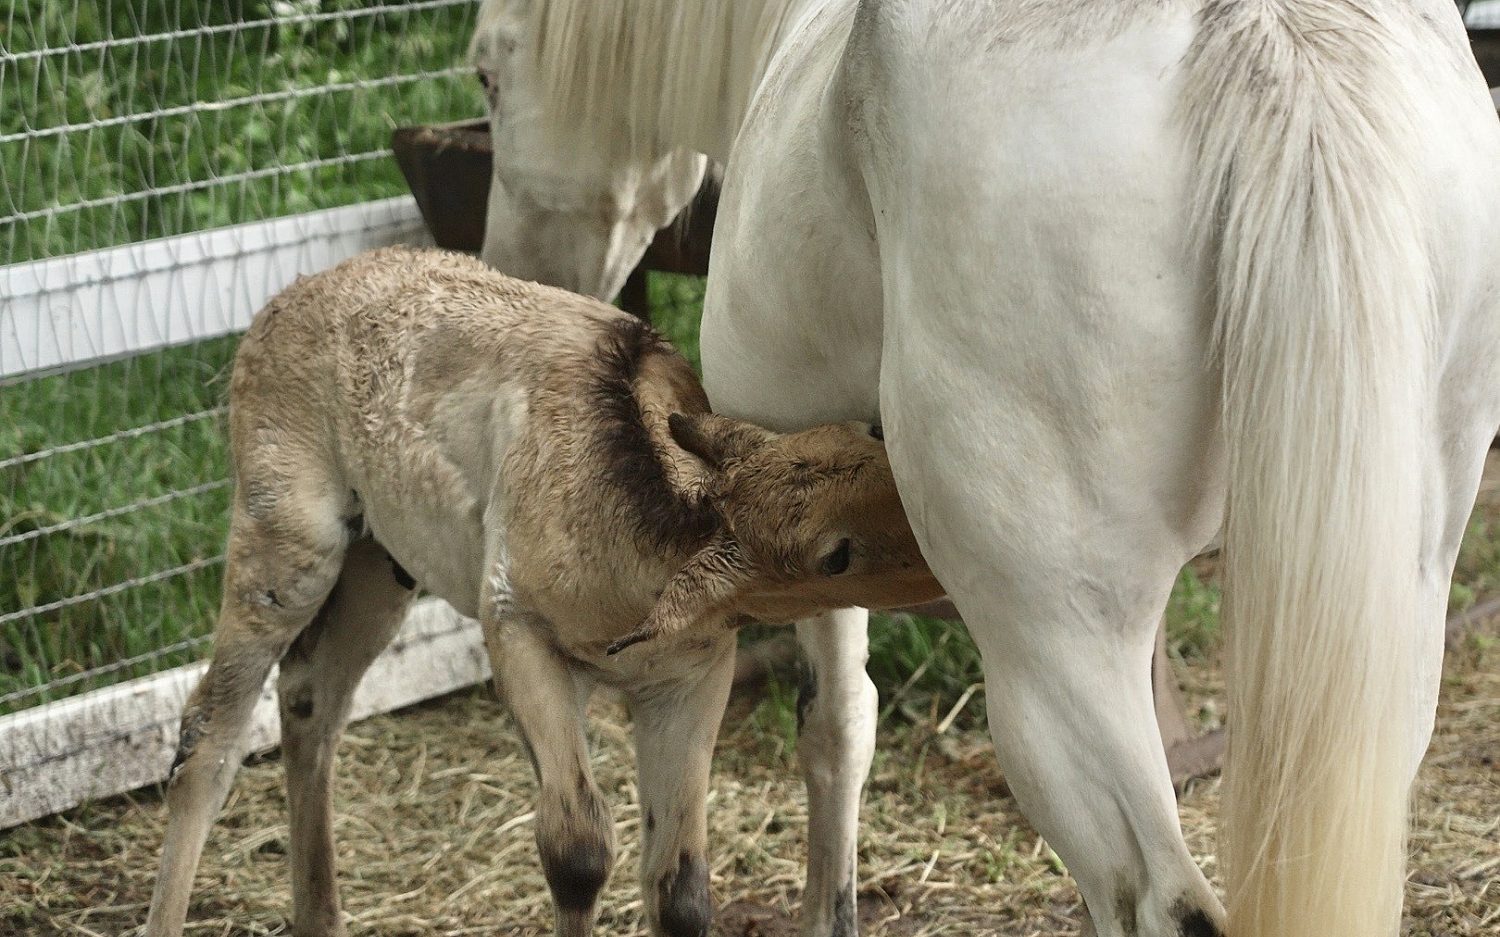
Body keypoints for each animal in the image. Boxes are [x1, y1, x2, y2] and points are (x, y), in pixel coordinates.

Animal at [469, 2, 1500, 936]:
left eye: (487, 70)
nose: (505, 269)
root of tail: (1271, 37)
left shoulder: (804, 545)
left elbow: (837, 728)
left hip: (1053, 657)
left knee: (1157, 899)